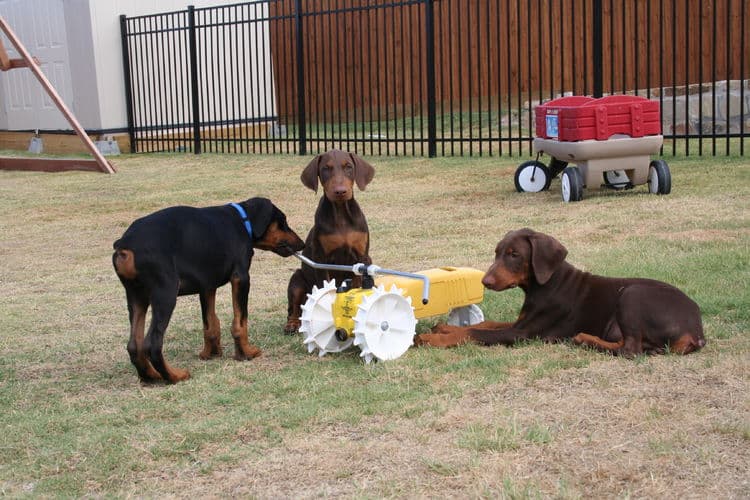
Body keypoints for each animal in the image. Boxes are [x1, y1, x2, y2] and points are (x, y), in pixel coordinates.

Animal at [112, 196, 306, 382]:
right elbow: (240, 322)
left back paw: (151, 376)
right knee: (152, 343)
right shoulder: (241, 278)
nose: (302, 244)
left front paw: (211, 354)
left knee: (134, 345)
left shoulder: (207, 285)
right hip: (165, 294)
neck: (243, 222)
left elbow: (210, 323)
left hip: (136, 297)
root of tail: (124, 244)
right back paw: (174, 376)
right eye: (283, 221)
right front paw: (246, 353)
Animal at [284, 150, 376, 334]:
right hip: (296, 280)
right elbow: (324, 288)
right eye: (325, 169)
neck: (340, 213)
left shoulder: (362, 257)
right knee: (294, 308)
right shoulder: (321, 260)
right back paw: (292, 324)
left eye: (348, 167)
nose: (340, 191)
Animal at [420, 229, 708, 358]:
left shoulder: (522, 334)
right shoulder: (521, 322)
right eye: (497, 253)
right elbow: (486, 324)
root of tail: (696, 332)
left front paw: (432, 338)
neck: (547, 284)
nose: (485, 281)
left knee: (630, 350)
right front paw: (444, 328)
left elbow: (474, 333)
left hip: (632, 294)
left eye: (514, 254)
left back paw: (585, 339)